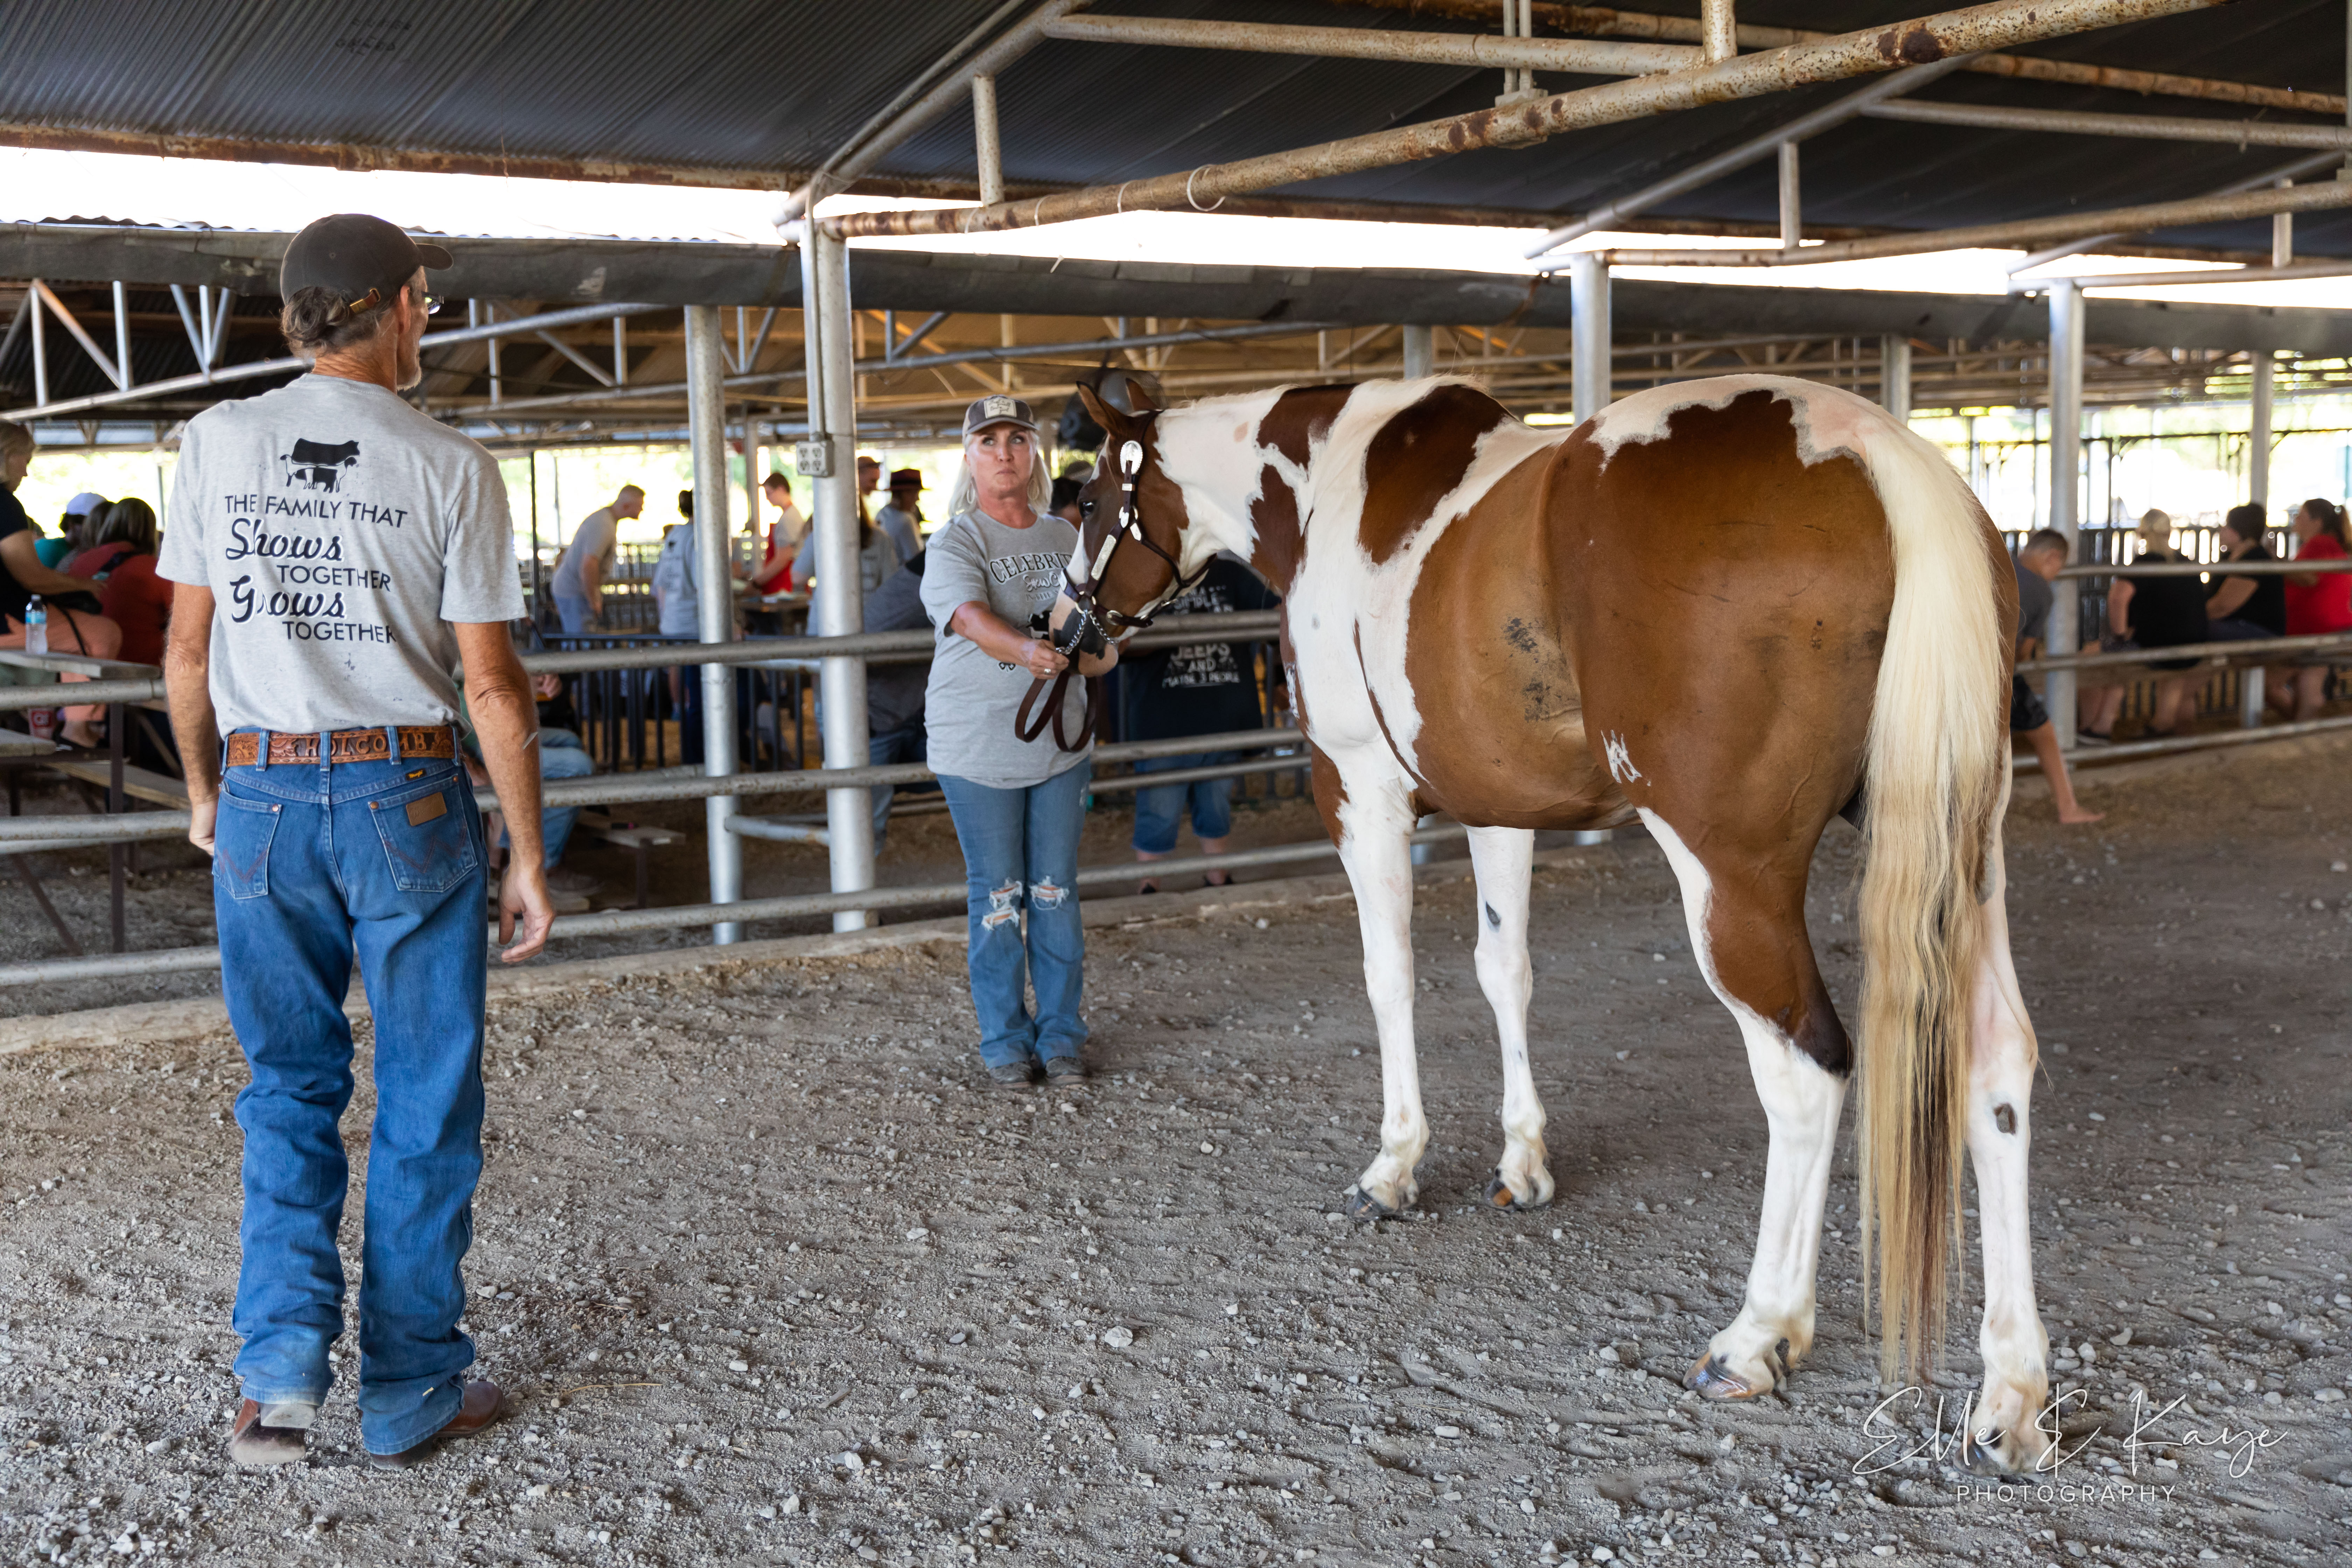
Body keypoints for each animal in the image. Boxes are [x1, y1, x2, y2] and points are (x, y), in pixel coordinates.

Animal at [1058, 373, 2053, 1473]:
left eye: (1090, 498)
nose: (1071, 626)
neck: (1329, 487)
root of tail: (1873, 455)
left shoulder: (1358, 791)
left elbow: (1390, 978)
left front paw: (1394, 1170)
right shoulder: (1499, 806)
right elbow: (1507, 970)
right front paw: (1523, 1161)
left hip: (1730, 876)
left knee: (1806, 1073)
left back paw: (1757, 1336)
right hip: (1965, 848)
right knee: (1996, 1063)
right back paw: (2010, 1392)